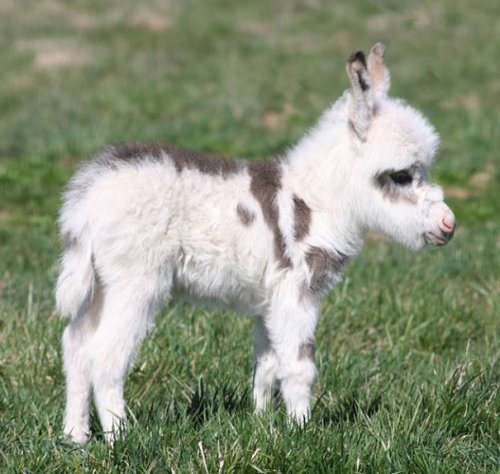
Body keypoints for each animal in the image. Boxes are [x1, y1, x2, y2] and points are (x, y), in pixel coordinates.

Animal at [56, 43, 456, 440]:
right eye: (401, 176)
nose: (448, 225)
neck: (317, 200)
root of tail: (88, 195)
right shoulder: (297, 293)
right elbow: (299, 366)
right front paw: (302, 431)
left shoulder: (270, 302)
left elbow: (266, 366)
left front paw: (264, 424)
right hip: (136, 284)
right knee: (105, 357)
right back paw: (120, 438)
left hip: (100, 286)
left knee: (76, 346)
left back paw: (76, 437)